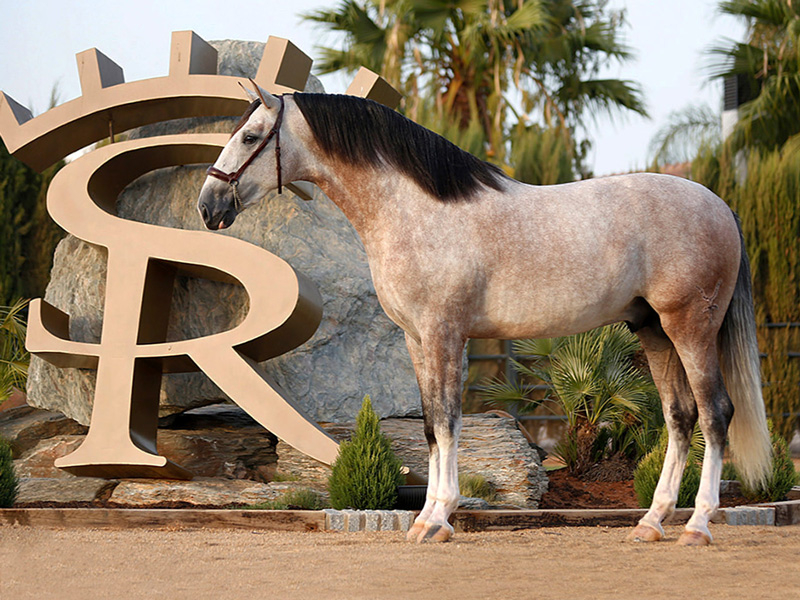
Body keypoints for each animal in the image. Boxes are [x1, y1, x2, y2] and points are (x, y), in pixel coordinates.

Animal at [197, 82, 772, 548]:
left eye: (250, 136)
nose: (209, 205)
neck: (416, 210)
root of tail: (720, 205)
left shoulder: (445, 333)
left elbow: (449, 421)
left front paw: (438, 519)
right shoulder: (416, 339)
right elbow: (431, 425)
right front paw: (425, 518)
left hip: (690, 326)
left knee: (715, 414)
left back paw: (697, 526)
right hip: (653, 329)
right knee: (680, 417)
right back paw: (651, 523)